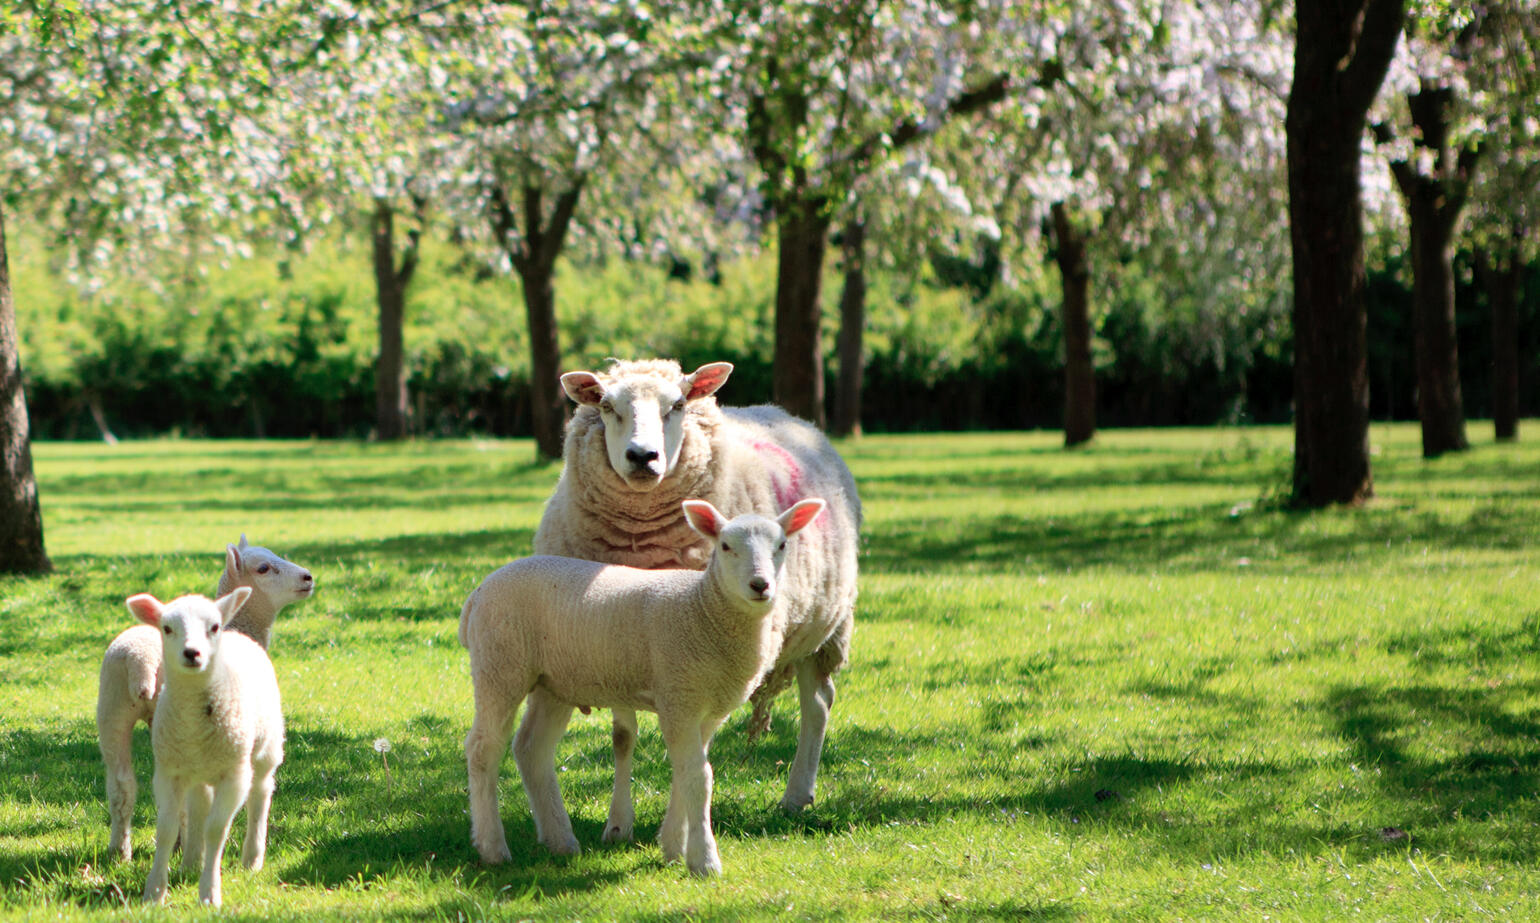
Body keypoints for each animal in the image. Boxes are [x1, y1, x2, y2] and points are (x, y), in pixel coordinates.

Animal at [97, 536, 313, 861]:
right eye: (263, 568)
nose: (307, 578)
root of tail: (138, 661)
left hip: (112, 707)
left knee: (121, 784)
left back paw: (119, 851)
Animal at [131, 588, 284, 908]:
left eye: (213, 627)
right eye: (167, 628)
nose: (192, 653)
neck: (193, 722)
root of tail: (237, 633)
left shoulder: (234, 775)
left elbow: (217, 829)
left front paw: (210, 893)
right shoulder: (168, 772)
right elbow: (166, 829)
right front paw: (154, 892)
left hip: (266, 748)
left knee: (261, 793)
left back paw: (252, 858)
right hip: (199, 768)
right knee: (199, 804)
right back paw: (191, 861)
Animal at [462, 497, 828, 877]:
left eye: (781, 545)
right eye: (726, 546)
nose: (760, 585)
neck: (703, 609)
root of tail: (478, 593)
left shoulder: (706, 708)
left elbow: (686, 774)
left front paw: (673, 848)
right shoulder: (678, 698)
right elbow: (699, 777)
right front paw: (705, 860)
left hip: (553, 684)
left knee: (532, 748)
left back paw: (561, 841)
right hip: (499, 666)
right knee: (483, 749)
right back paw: (493, 847)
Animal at [531, 358, 860, 840]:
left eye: (679, 405)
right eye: (607, 406)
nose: (642, 457)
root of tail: (784, 413)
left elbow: (692, 751)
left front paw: (677, 829)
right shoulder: (614, 646)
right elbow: (623, 738)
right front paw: (618, 826)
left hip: (823, 629)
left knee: (817, 705)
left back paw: (796, 795)